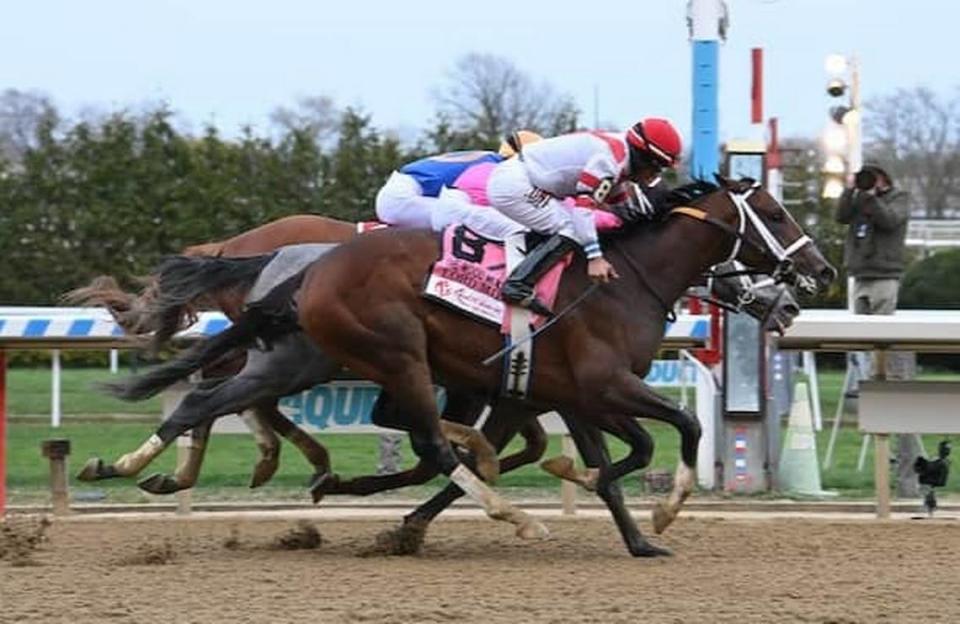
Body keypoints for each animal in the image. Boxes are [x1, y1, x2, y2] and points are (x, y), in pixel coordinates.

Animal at [95, 177, 832, 556]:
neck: (621, 276)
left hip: (301, 358)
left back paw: (133, 465)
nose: (815, 279)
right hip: (393, 354)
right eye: (773, 212)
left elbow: (616, 455)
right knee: (424, 440)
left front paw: (631, 529)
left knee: (211, 398)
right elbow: (680, 427)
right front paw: (663, 512)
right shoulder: (592, 385)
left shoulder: (554, 392)